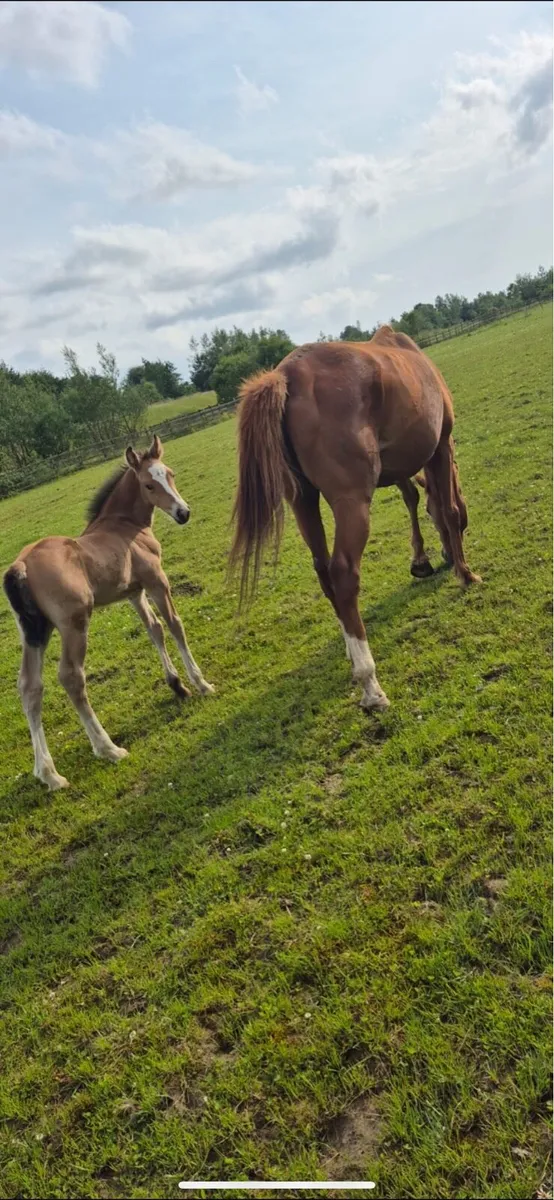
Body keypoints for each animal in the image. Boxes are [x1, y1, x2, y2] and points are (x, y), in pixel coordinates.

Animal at [3, 435, 213, 791]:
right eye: (148, 484)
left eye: (169, 474)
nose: (183, 513)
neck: (125, 526)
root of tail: (21, 565)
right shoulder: (157, 581)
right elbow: (174, 625)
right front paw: (200, 684)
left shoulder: (133, 592)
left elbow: (154, 629)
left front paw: (176, 685)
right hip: (74, 624)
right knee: (71, 677)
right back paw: (108, 749)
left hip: (35, 632)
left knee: (30, 686)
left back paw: (49, 774)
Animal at [230, 324, 480, 711]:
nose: (448, 557)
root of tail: (287, 376)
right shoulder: (440, 446)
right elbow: (449, 509)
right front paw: (465, 574)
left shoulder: (399, 466)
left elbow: (412, 498)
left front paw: (421, 560)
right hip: (351, 503)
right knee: (343, 573)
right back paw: (370, 682)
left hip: (303, 501)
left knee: (324, 572)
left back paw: (352, 653)